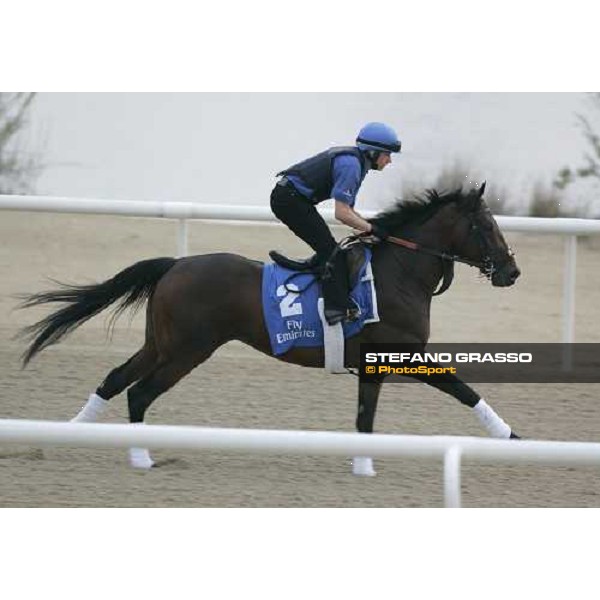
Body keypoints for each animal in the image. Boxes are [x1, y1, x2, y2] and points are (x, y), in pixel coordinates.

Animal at [17, 183, 520, 474]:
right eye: (486, 225)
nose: (512, 272)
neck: (397, 273)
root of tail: (176, 263)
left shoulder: (374, 364)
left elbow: (365, 417)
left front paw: (363, 466)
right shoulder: (402, 353)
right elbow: (462, 389)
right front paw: (510, 437)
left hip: (160, 343)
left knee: (114, 379)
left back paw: (71, 433)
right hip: (187, 350)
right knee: (139, 393)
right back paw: (141, 457)